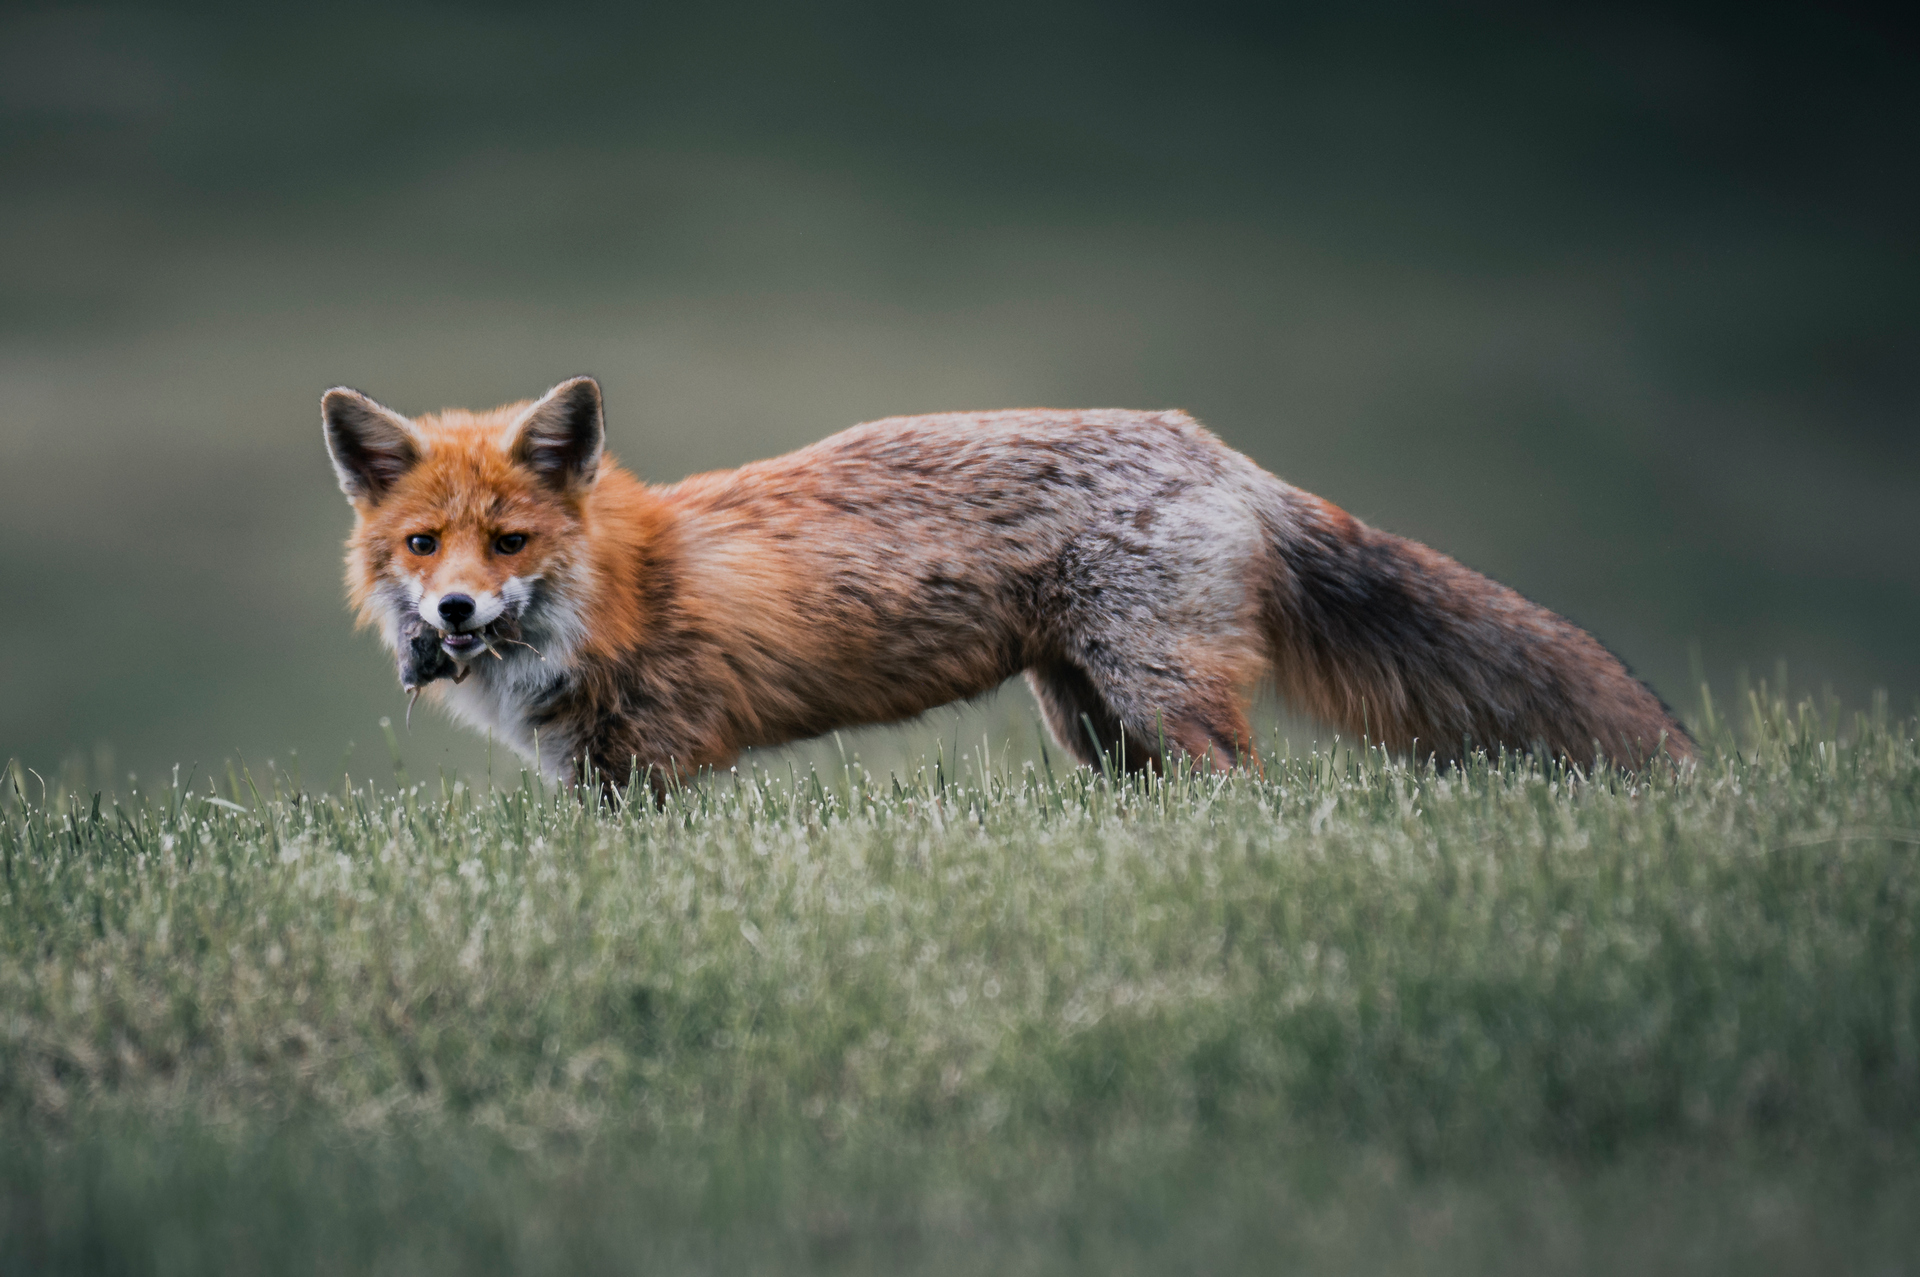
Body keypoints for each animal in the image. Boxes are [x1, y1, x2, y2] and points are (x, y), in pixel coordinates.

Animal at [321, 376, 1691, 796]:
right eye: (422, 546)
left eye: (508, 542)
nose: (453, 613)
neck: (612, 586)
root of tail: (1214, 447)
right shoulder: (591, 777)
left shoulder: (645, 763)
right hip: (1092, 717)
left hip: (1157, 694)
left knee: (1246, 786)